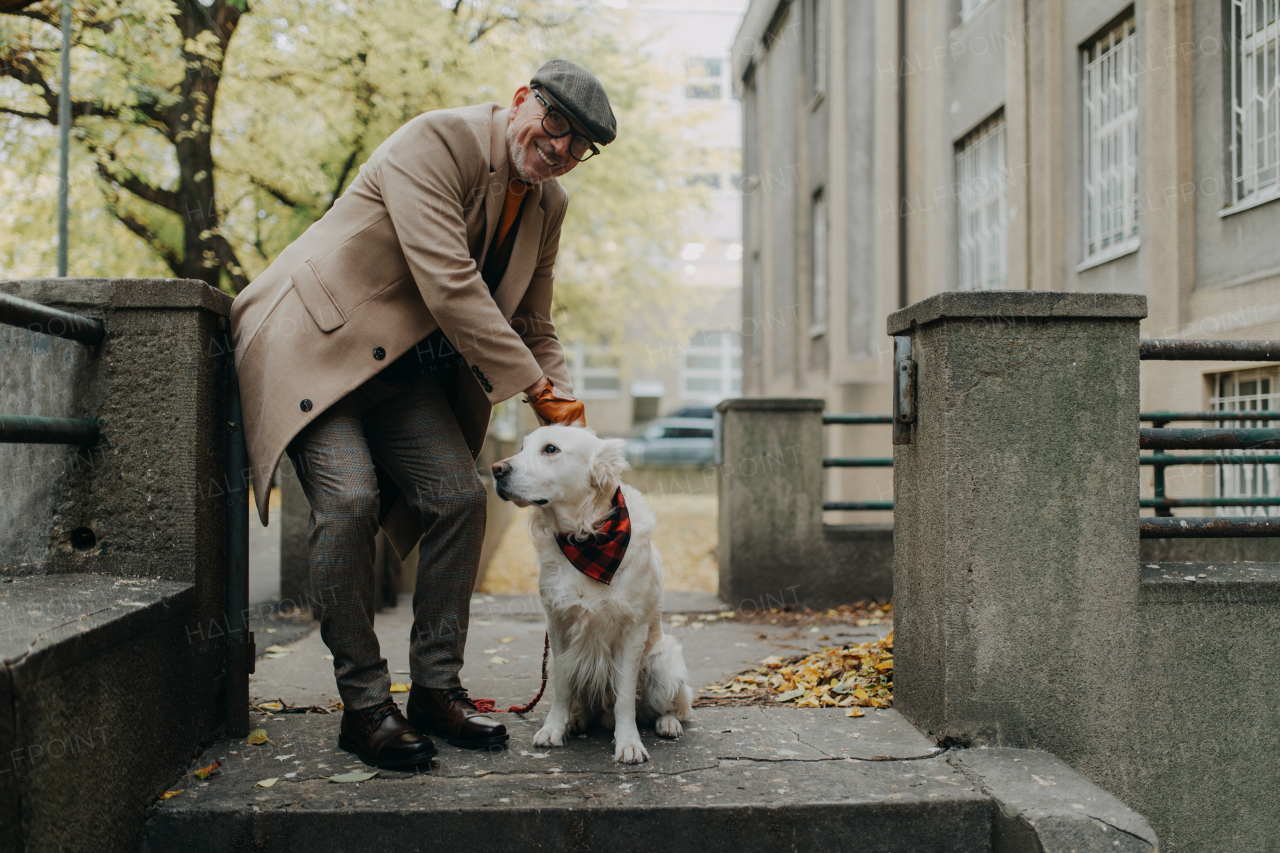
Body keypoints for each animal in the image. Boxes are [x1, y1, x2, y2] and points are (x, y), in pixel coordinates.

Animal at [491, 425, 696, 763]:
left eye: (550, 449)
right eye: (521, 448)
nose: (496, 469)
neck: (586, 540)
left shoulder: (633, 632)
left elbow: (625, 697)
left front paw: (629, 742)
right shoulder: (558, 627)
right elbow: (562, 687)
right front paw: (554, 728)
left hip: (664, 662)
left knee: (671, 707)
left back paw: (667, 723)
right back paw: (576, 720)